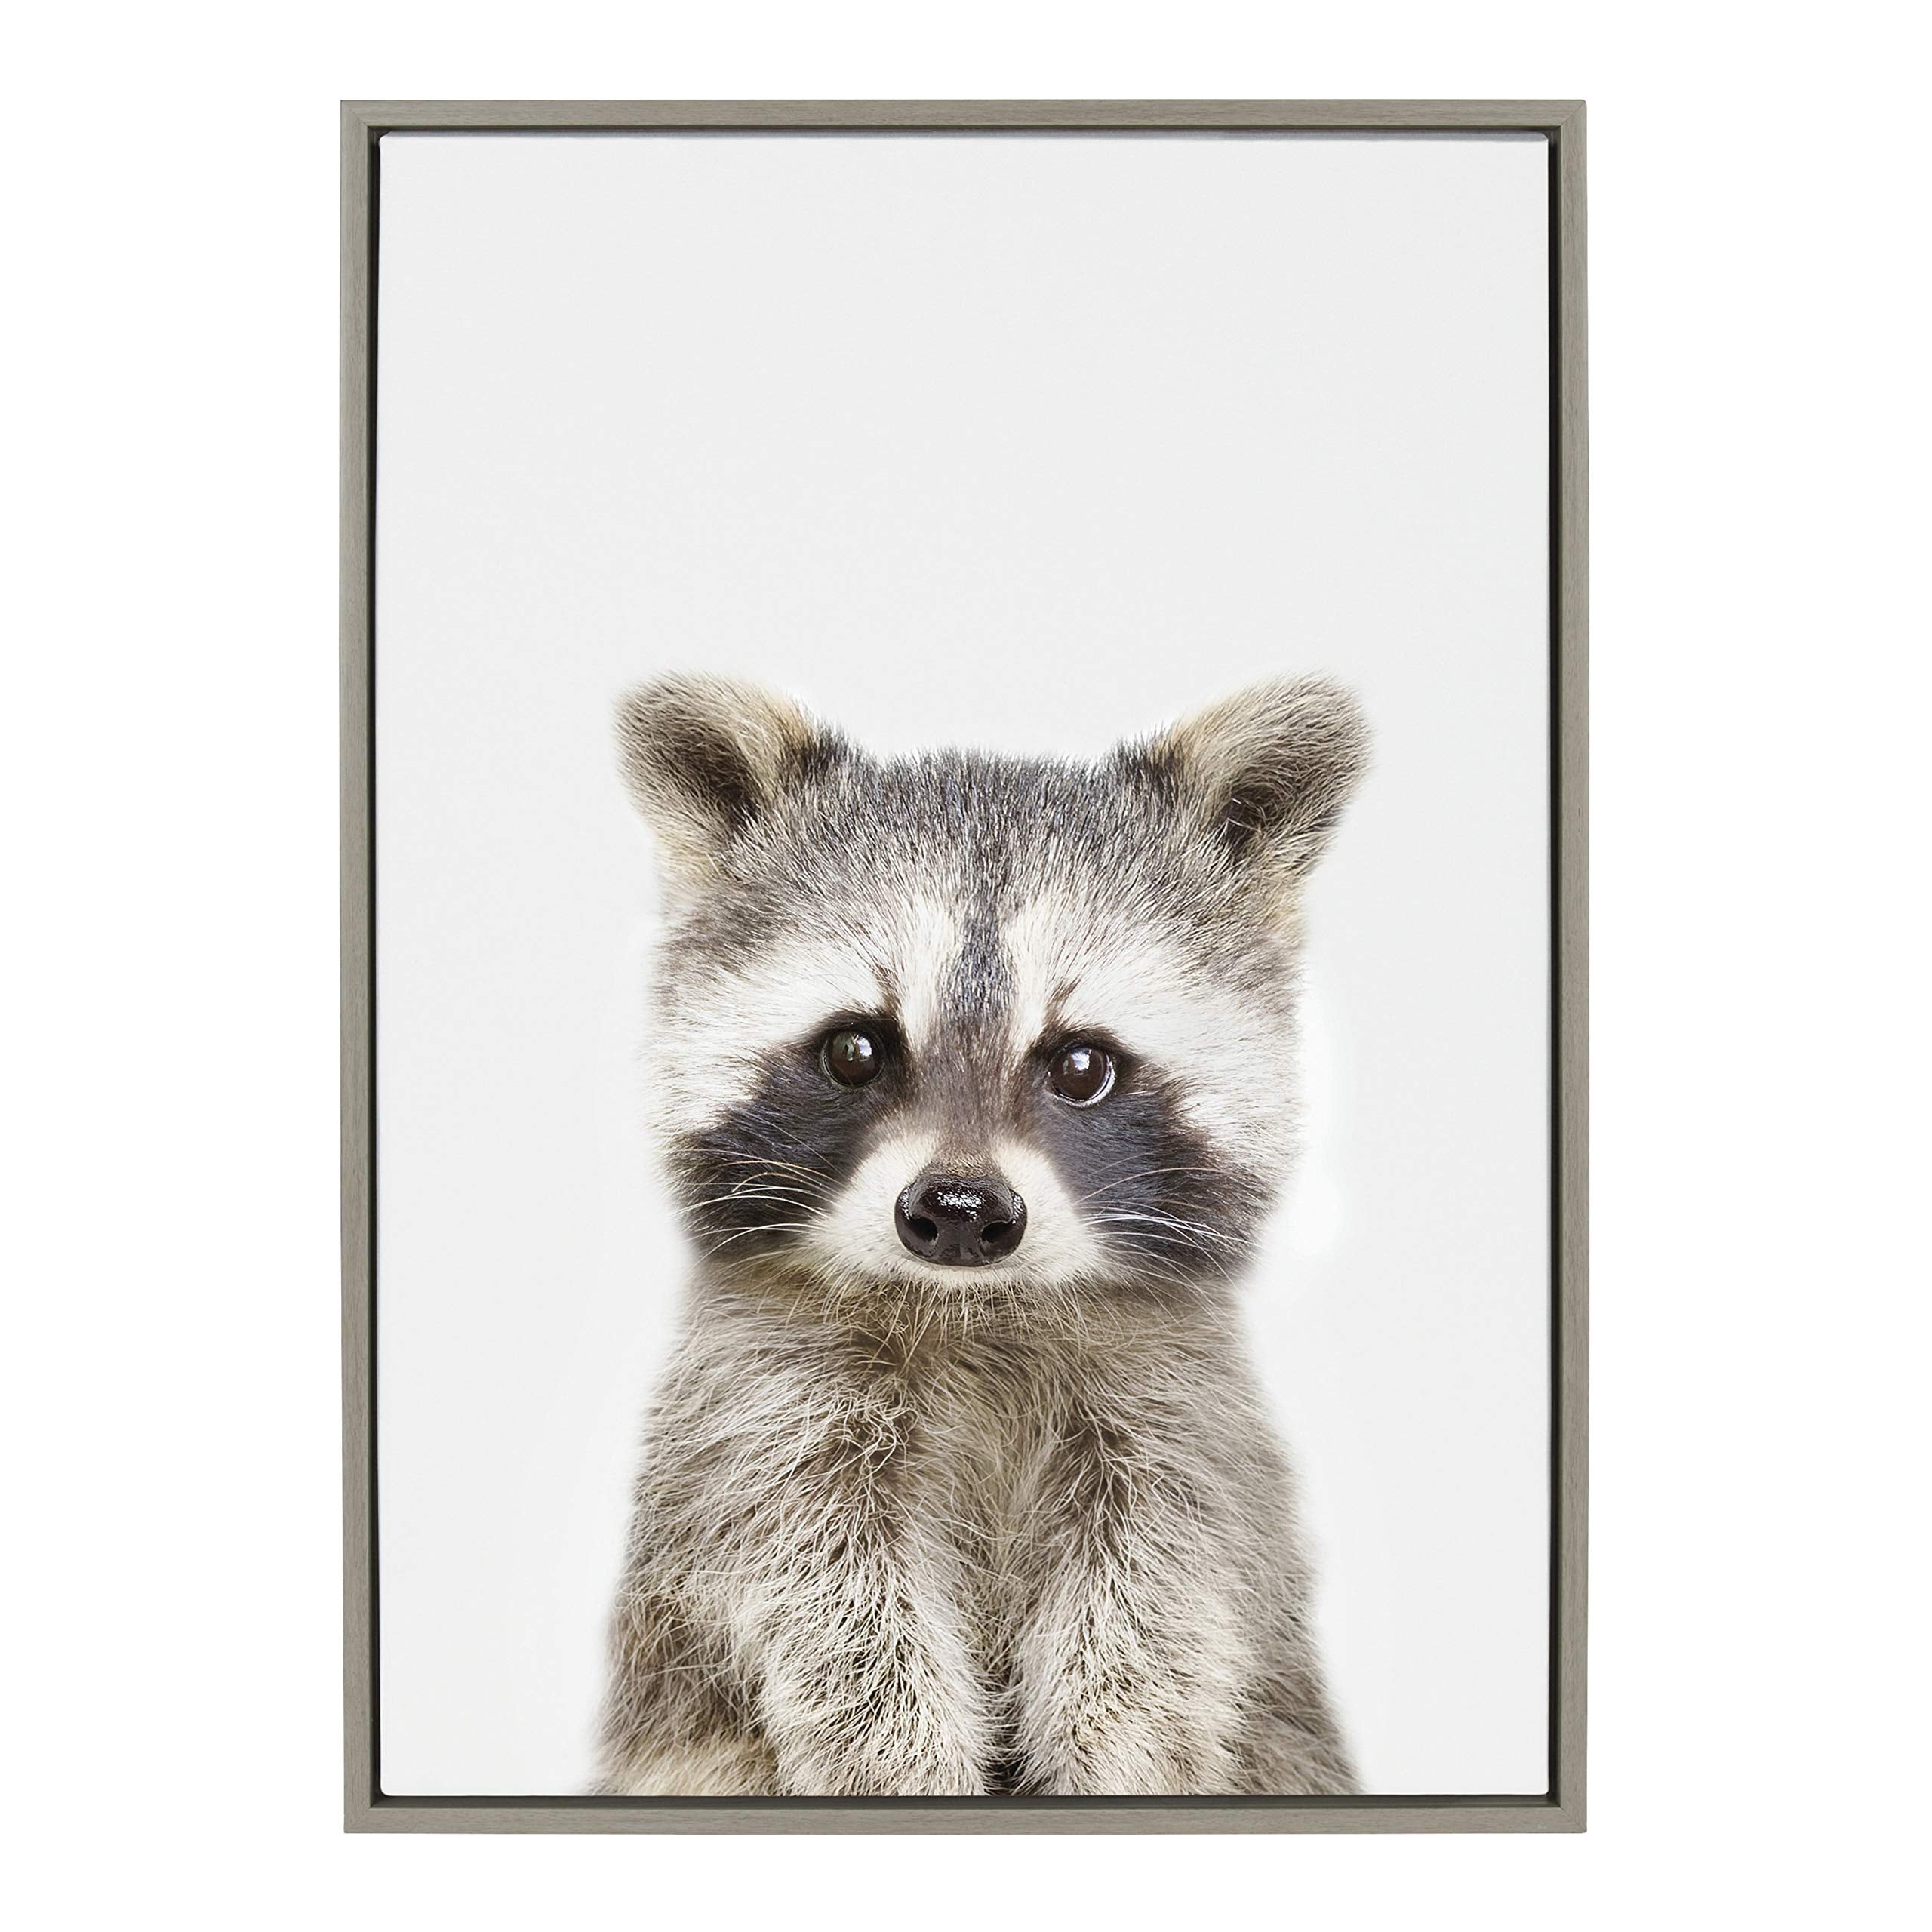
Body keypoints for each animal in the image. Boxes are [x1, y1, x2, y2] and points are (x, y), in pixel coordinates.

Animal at [595, 672, 1367, 1798]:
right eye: (855, 1049)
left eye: (1082, 1064)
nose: (959, 1213)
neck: (973, 1311)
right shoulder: (757, 1410)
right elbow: (827, 1597)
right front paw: (898, 1764)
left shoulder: (1179, 1413)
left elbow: (1159, 1600)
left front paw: (1116, 1755)